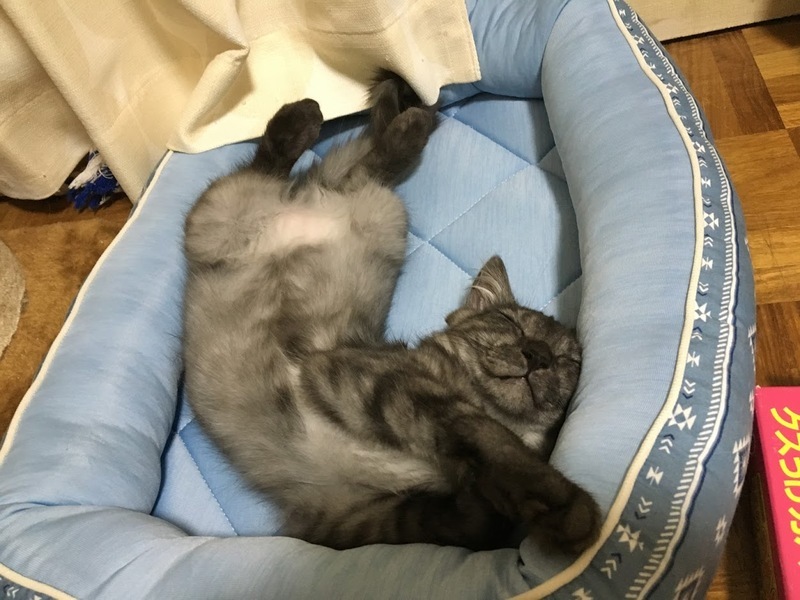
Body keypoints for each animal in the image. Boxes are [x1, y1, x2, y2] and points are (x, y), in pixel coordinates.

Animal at [182, 72, 601, 553]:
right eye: (511, 324)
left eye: (566, 360)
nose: (538, 357)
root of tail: (312, 198)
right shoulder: (362, 376)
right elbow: (479, 430)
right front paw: (564, 504)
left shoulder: (357, 518)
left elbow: (471, 519)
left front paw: (497, 495)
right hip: (223, 217)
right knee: (276, 165)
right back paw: (321, 119)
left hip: (380, 214)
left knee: (368, 167)